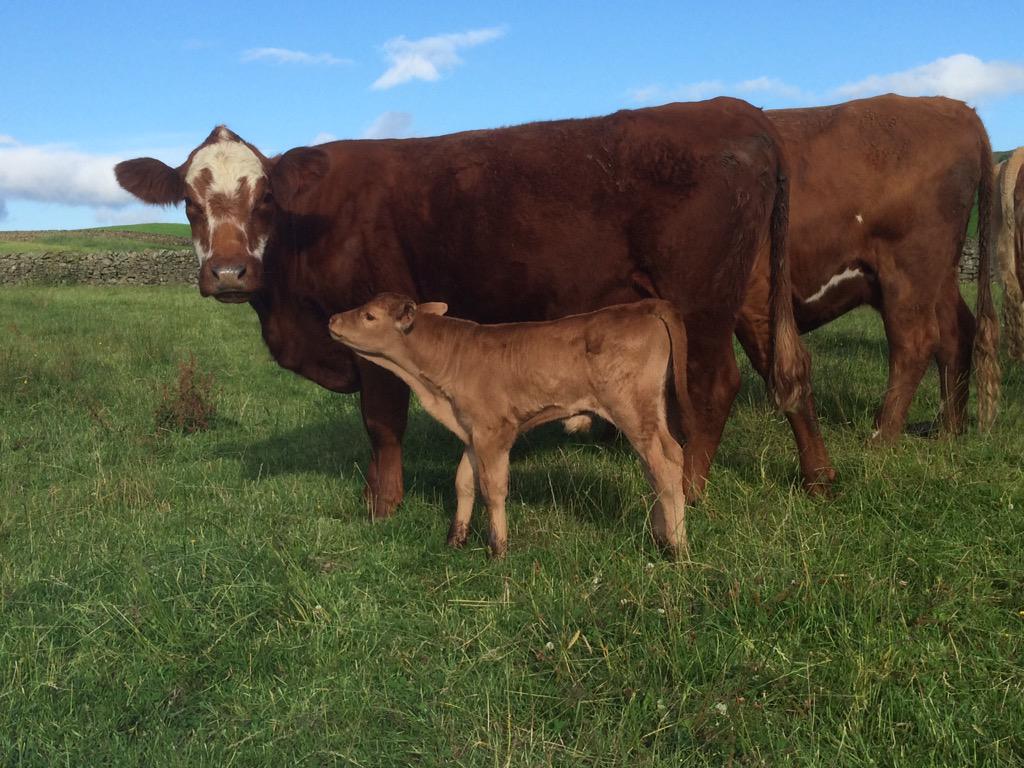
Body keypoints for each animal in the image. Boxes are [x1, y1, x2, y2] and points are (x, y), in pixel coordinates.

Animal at [114, 98, 834, 519]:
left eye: (264, 198)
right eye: (188, 202)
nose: (228, 272)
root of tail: (737, 110)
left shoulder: (374, 328)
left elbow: (382, 423)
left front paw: (382, 507)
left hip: (700, 299)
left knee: (714, 387)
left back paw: (687, 493)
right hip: (749, 290)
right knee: (784, 372)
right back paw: (817, 477)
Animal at [328, 294, 697, 558]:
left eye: (369, 316)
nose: (332, 318)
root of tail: (639, 306)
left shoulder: (494, 432)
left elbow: (493, 488)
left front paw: (497, 549)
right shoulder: (471, 431)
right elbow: (463, 482)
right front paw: (455, 539)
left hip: (632, 411)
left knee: (664, 469)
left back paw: (678, 548)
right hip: (650, 413)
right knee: (663, 463)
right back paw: (662, 538)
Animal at [734, 95, 1001, 439]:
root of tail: (954, 106)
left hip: (909, 272)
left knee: (915, 341)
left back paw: (882, 435)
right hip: (940, 277)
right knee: (957, 334)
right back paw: (948, 432)